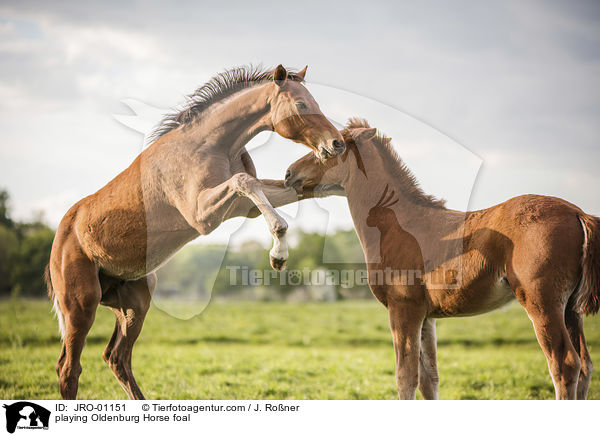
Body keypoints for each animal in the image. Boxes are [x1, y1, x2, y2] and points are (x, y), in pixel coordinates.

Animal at [45, 64, 346, 398]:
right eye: (301, 104)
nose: (337, 143)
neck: (210, 145)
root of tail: (60, 239)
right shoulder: (202, 214)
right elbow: (245, 182)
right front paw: (278, 254)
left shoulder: (242, 207)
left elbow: (298, 189)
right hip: (80, 306)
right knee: (69, 369)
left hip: (134, 304)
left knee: (116, 358)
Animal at [288, 118, 600, 398]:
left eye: (330, 148)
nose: (289, 173)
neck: (398, 224)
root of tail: (577, 213)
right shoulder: (427, 317)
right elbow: (430, 380)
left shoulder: (403, 310)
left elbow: (405, 378)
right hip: (571, 309)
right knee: (585, 366)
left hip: (542, 303)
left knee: (564, 364)